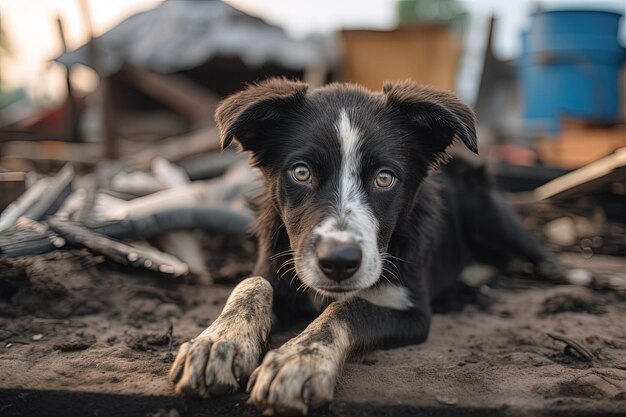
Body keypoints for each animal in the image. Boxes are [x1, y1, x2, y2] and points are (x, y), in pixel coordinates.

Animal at [167, 77, 552, 412]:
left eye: (385, 178)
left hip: (490, 214)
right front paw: (218, 343)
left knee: (528, 258)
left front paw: (299, 360)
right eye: (301, 172)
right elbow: (251, 285)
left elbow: (346, 309)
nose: (339, 261)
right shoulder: (277, 265)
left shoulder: (410, 310)